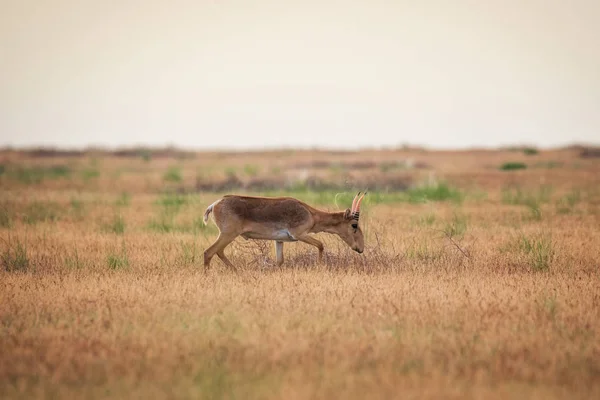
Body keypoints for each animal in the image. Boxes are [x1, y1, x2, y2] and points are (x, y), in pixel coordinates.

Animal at [203, 191, 366, 268]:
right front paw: (320, 266)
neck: (310, 214)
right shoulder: (300, 235)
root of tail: (214, 205)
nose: (360, 248)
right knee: (209, 252)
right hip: (228, 234)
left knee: (217, 252)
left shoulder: (279, 241)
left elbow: (279, 261)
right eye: (354, 225)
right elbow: (320, 245)